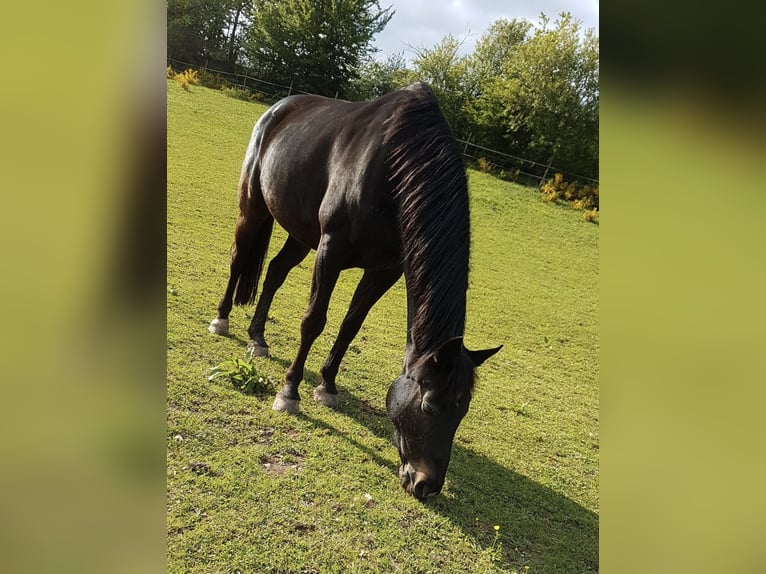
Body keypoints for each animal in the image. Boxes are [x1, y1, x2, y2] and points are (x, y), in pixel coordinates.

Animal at [208, 81, 504, 500]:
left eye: (462, 410)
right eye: (430, 406)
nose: (426, 485)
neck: (393, 169)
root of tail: (277, 108)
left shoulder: (385, 270)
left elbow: (350, 326)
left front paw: (327, 385)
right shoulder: (330, 250)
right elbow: (314, 321)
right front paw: (290, 392)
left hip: (301, 234)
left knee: (275, 272)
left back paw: (258, 337)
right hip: (254, 208)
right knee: (238, 260)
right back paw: (222, 320)